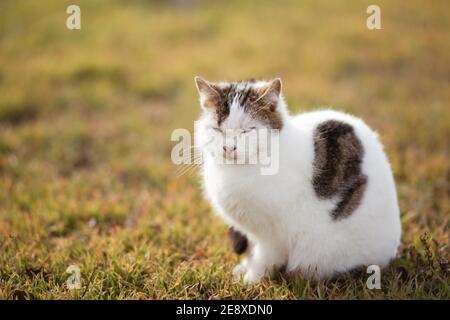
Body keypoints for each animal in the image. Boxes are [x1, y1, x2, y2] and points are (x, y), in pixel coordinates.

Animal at [193, 76, 400, 284]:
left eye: (247, 131)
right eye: (217, 129)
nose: (228, 148)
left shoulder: (272, 235)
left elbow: (265, 258)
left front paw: (251, 280)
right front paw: (244, 268)